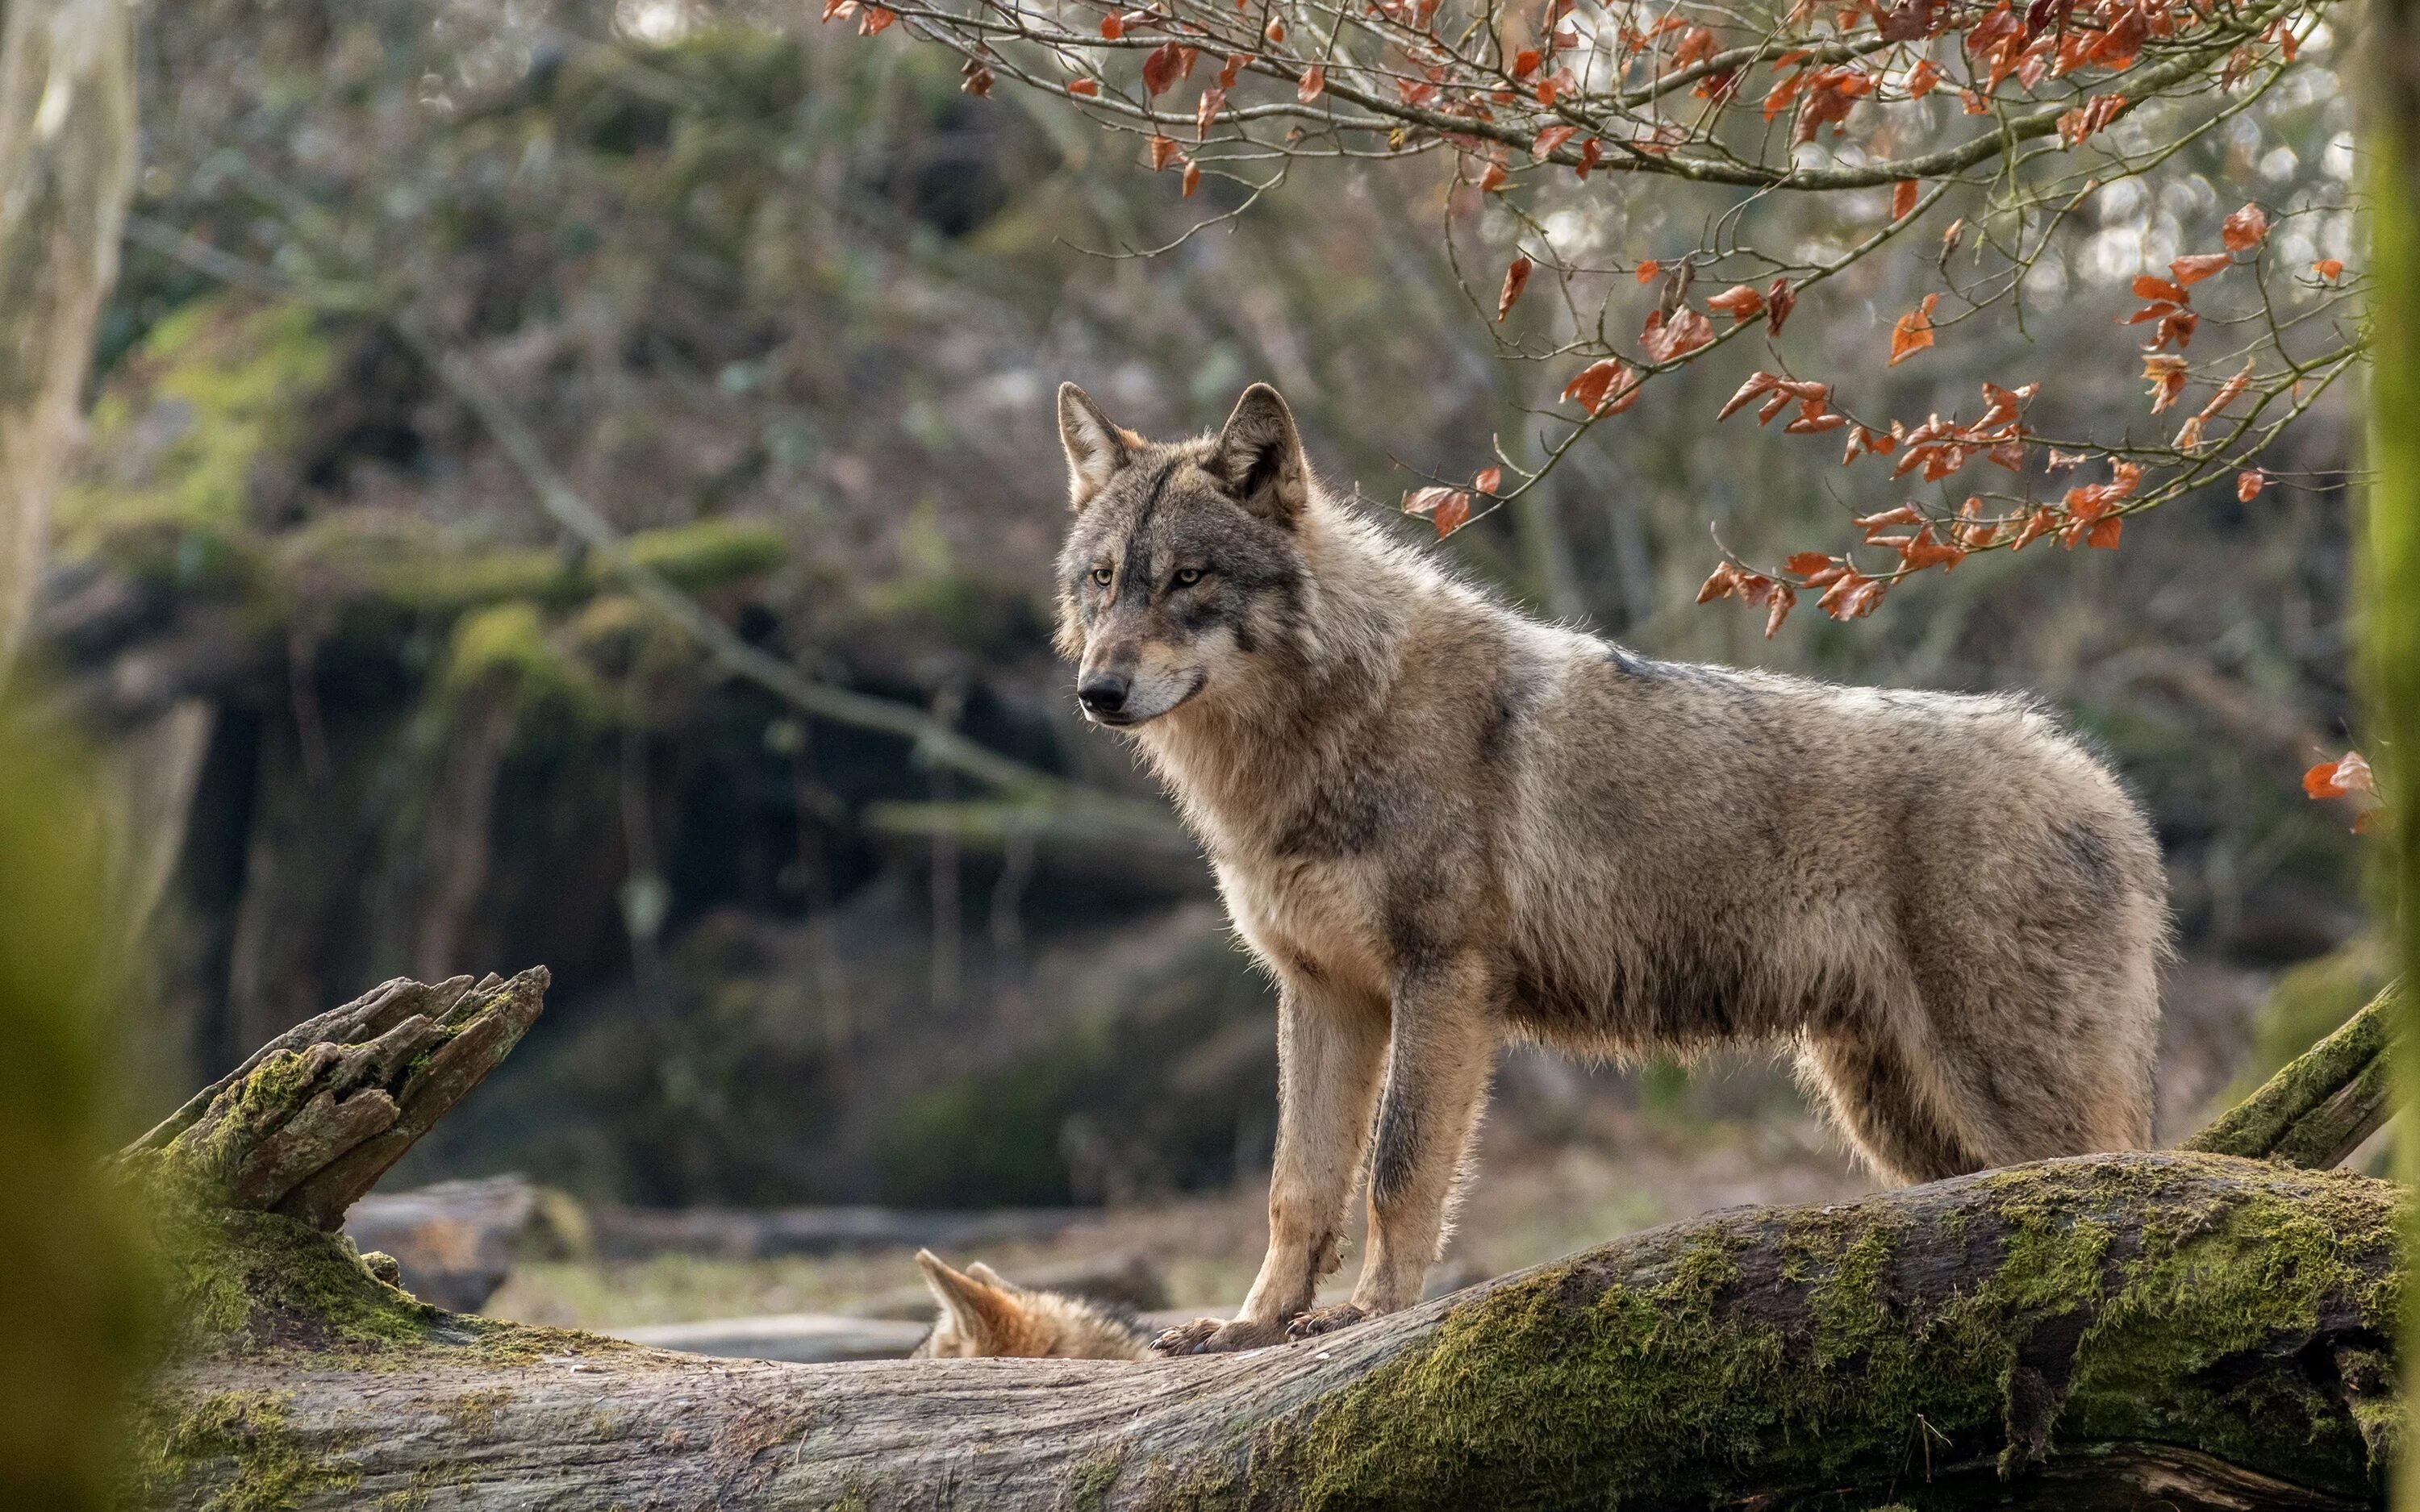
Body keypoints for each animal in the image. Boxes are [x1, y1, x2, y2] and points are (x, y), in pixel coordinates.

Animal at [1050, 380, 2168, 1355]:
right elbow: (1298, 1186)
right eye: (1104, 579)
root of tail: (2103, 786)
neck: (1322, 731)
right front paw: (1251, 1327)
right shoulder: (1323, 991)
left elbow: (1399, 1169)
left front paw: (1369, 1313)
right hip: (1895, 1117)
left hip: (1996, 1096)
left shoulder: (1442, 978)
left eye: (1189, 577)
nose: (1096, 692)